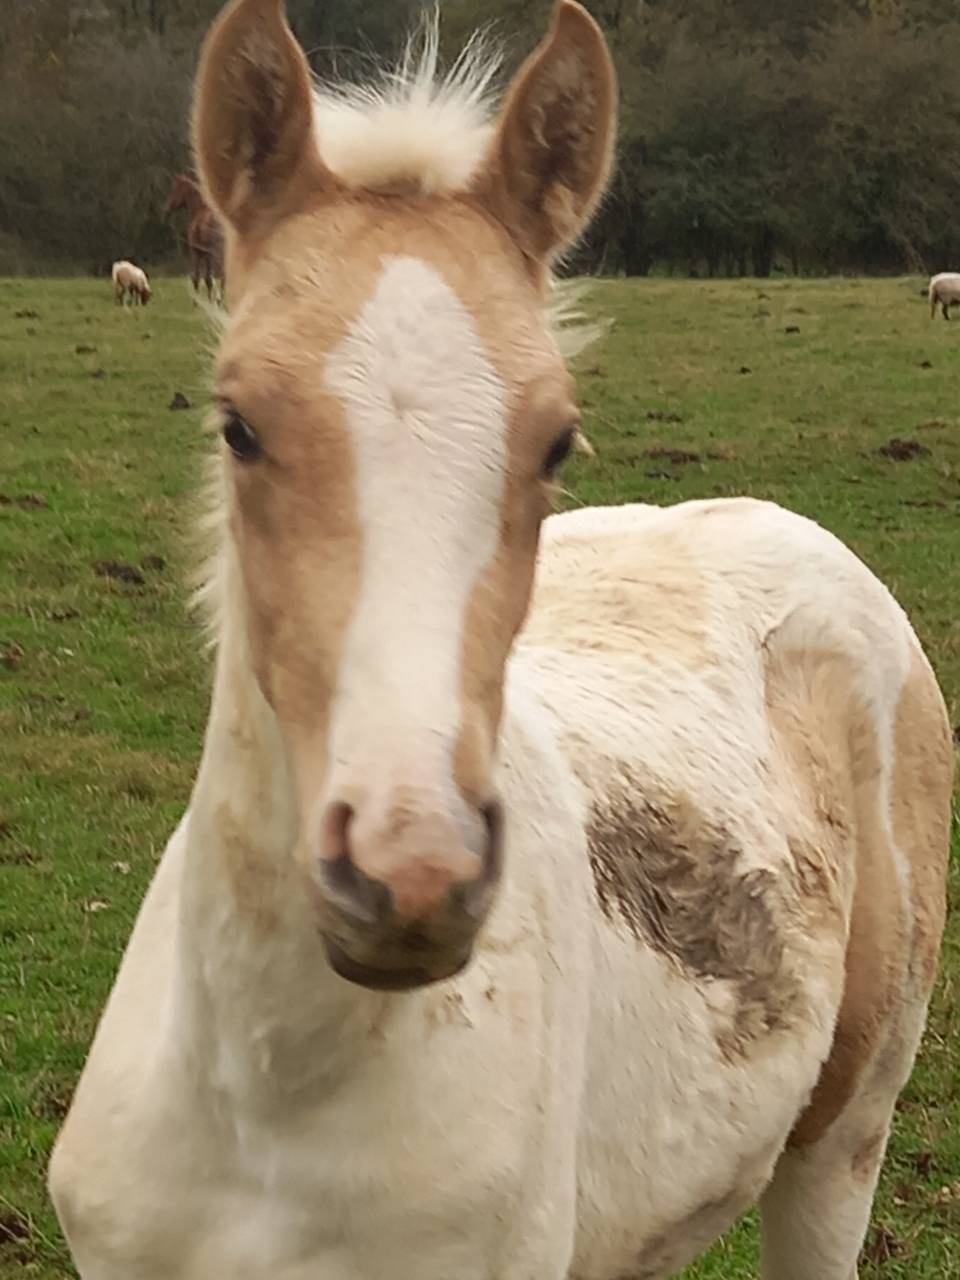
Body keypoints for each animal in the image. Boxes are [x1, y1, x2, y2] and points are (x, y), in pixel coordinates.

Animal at [164, 172, 225, 302]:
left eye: (174, 189)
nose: (167, 209)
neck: (200, 210)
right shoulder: (206, 254)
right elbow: (207, 279)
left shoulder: (197, 252)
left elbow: (198, 277)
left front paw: (198, 302)